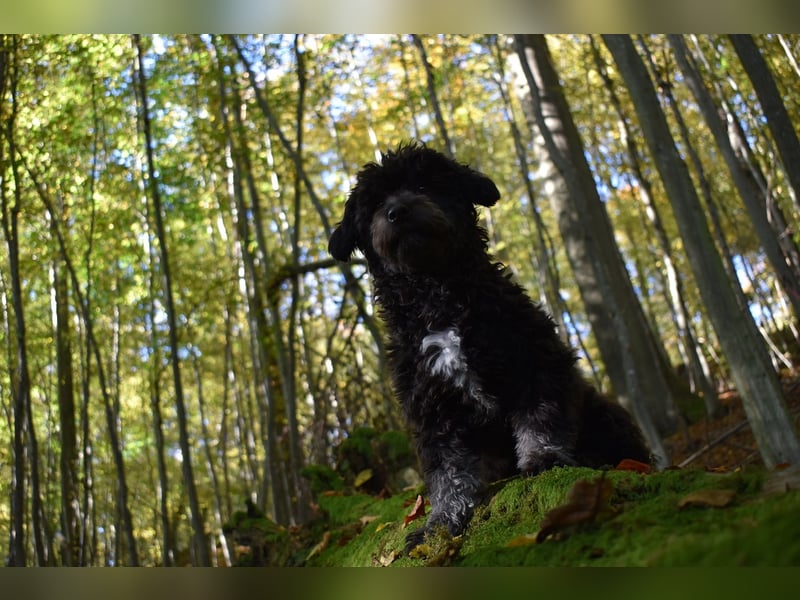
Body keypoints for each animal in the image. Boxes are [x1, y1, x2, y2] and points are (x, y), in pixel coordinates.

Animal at [328, 144, 648, 548]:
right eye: (374, 204)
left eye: (423, 183)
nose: (397, 211)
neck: (437, 301)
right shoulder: (433, 409)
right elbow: (448, 473)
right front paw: (440, 523)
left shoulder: (536, 361)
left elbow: (541, 418)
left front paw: (543, 459)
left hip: (606, 413)